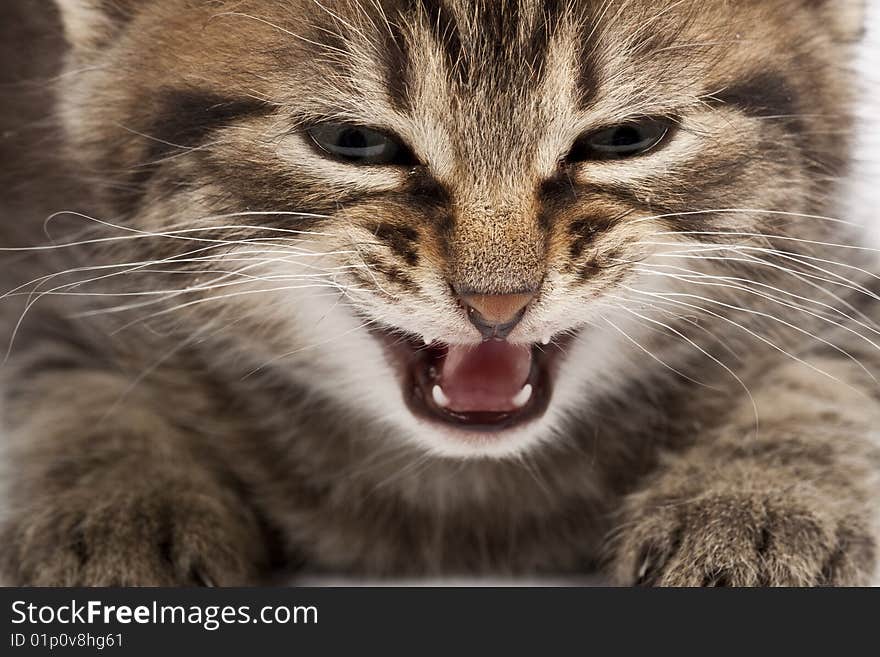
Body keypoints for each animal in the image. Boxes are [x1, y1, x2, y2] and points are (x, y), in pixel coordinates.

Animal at [0, 0, 876, 584]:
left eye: (626, 138)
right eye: (352, 140)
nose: (498, 303)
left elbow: (833, 370)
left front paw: (760, 504)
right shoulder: (53, 273)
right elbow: (65, 388)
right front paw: (114, 511)